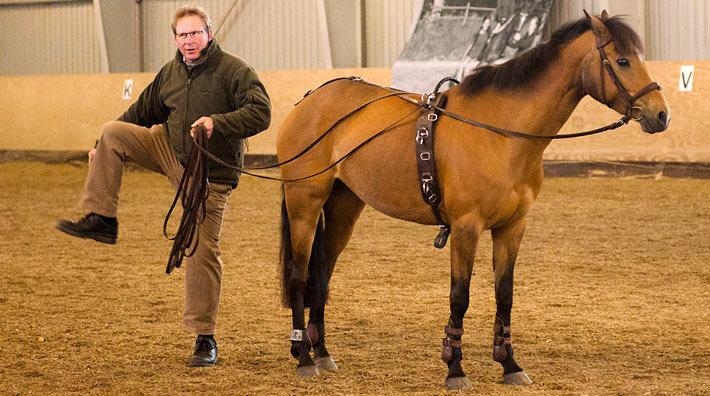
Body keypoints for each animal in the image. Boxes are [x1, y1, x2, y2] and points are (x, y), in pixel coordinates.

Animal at [276, 10, 672, 390]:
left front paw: (510, 364)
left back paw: (322, 353)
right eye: (622, 61)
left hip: (344, 206)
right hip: (304, 204)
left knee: (322, 273)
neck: (502, 134)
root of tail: (309, 100)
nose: (661, 114)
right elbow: (460, 296)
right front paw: (454, 368)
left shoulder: (512, 228)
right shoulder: (466, 228)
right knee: (300, 274)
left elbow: (505, 295)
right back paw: (304, 357)